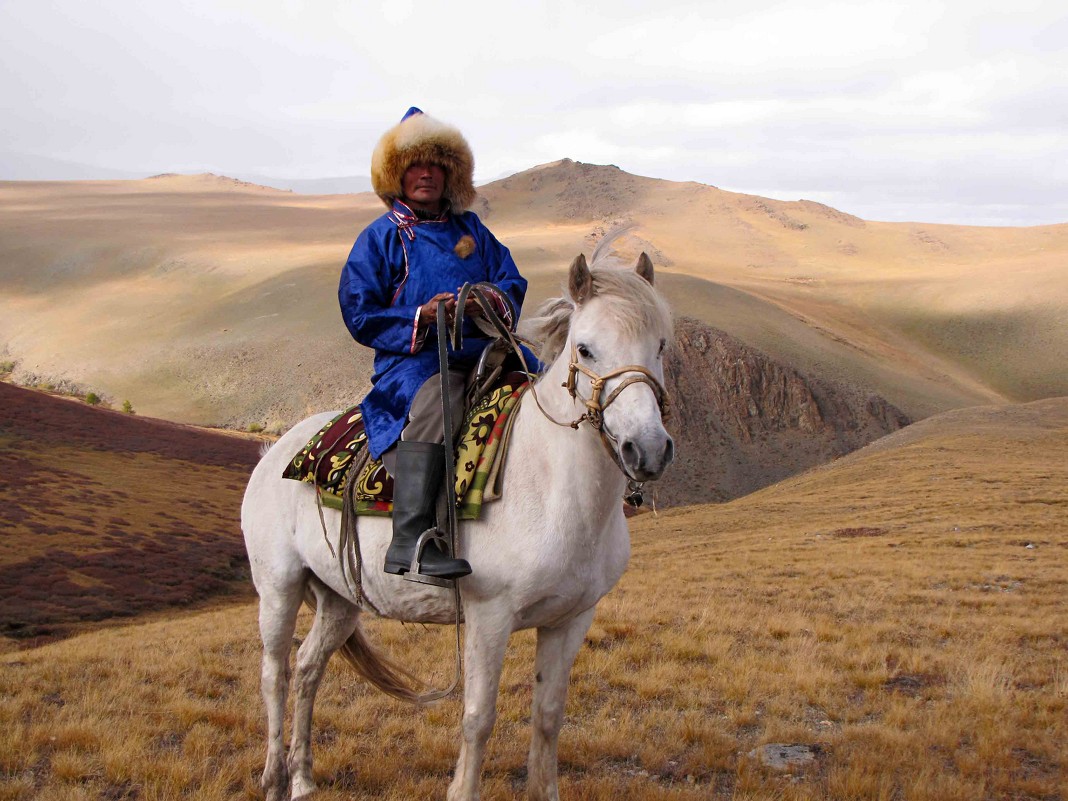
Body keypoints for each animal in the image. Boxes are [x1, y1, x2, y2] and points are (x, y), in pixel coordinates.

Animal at [243, 252, 674, 801]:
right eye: (585, 348)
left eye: (660, 345)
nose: (648, 450)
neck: (552, 485)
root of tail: (275, 449)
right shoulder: (491, 616)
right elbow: (478, 719)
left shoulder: (571, 618)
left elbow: (548, 716)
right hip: (278, 586)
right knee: (273, 674)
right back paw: (275, 777)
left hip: (339, 598)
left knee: (306, 670)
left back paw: (302, 780)